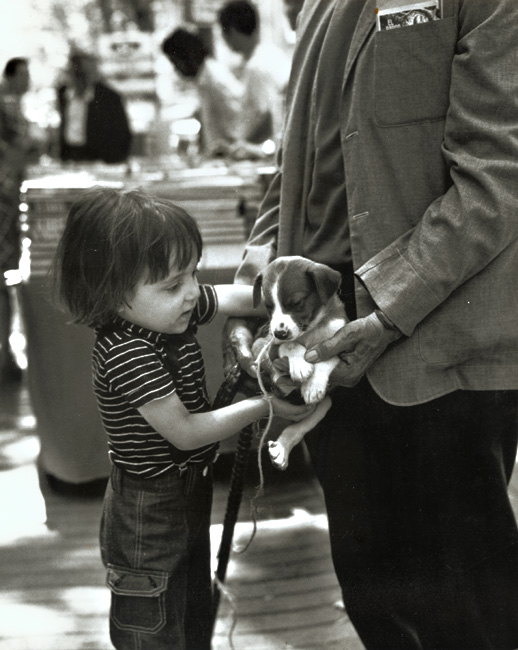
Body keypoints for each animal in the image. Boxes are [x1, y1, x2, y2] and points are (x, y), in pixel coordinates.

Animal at [253, 254, 350, 466]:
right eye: (268, 306)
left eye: (297, 303)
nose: (279, 333)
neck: (310, 330)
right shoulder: (271, 348)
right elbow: (291, 346)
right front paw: (300, 365)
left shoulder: (340, 343)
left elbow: (323, 356)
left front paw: (312, 386)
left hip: (326, 402)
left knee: (303, 424)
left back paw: (282, 447)